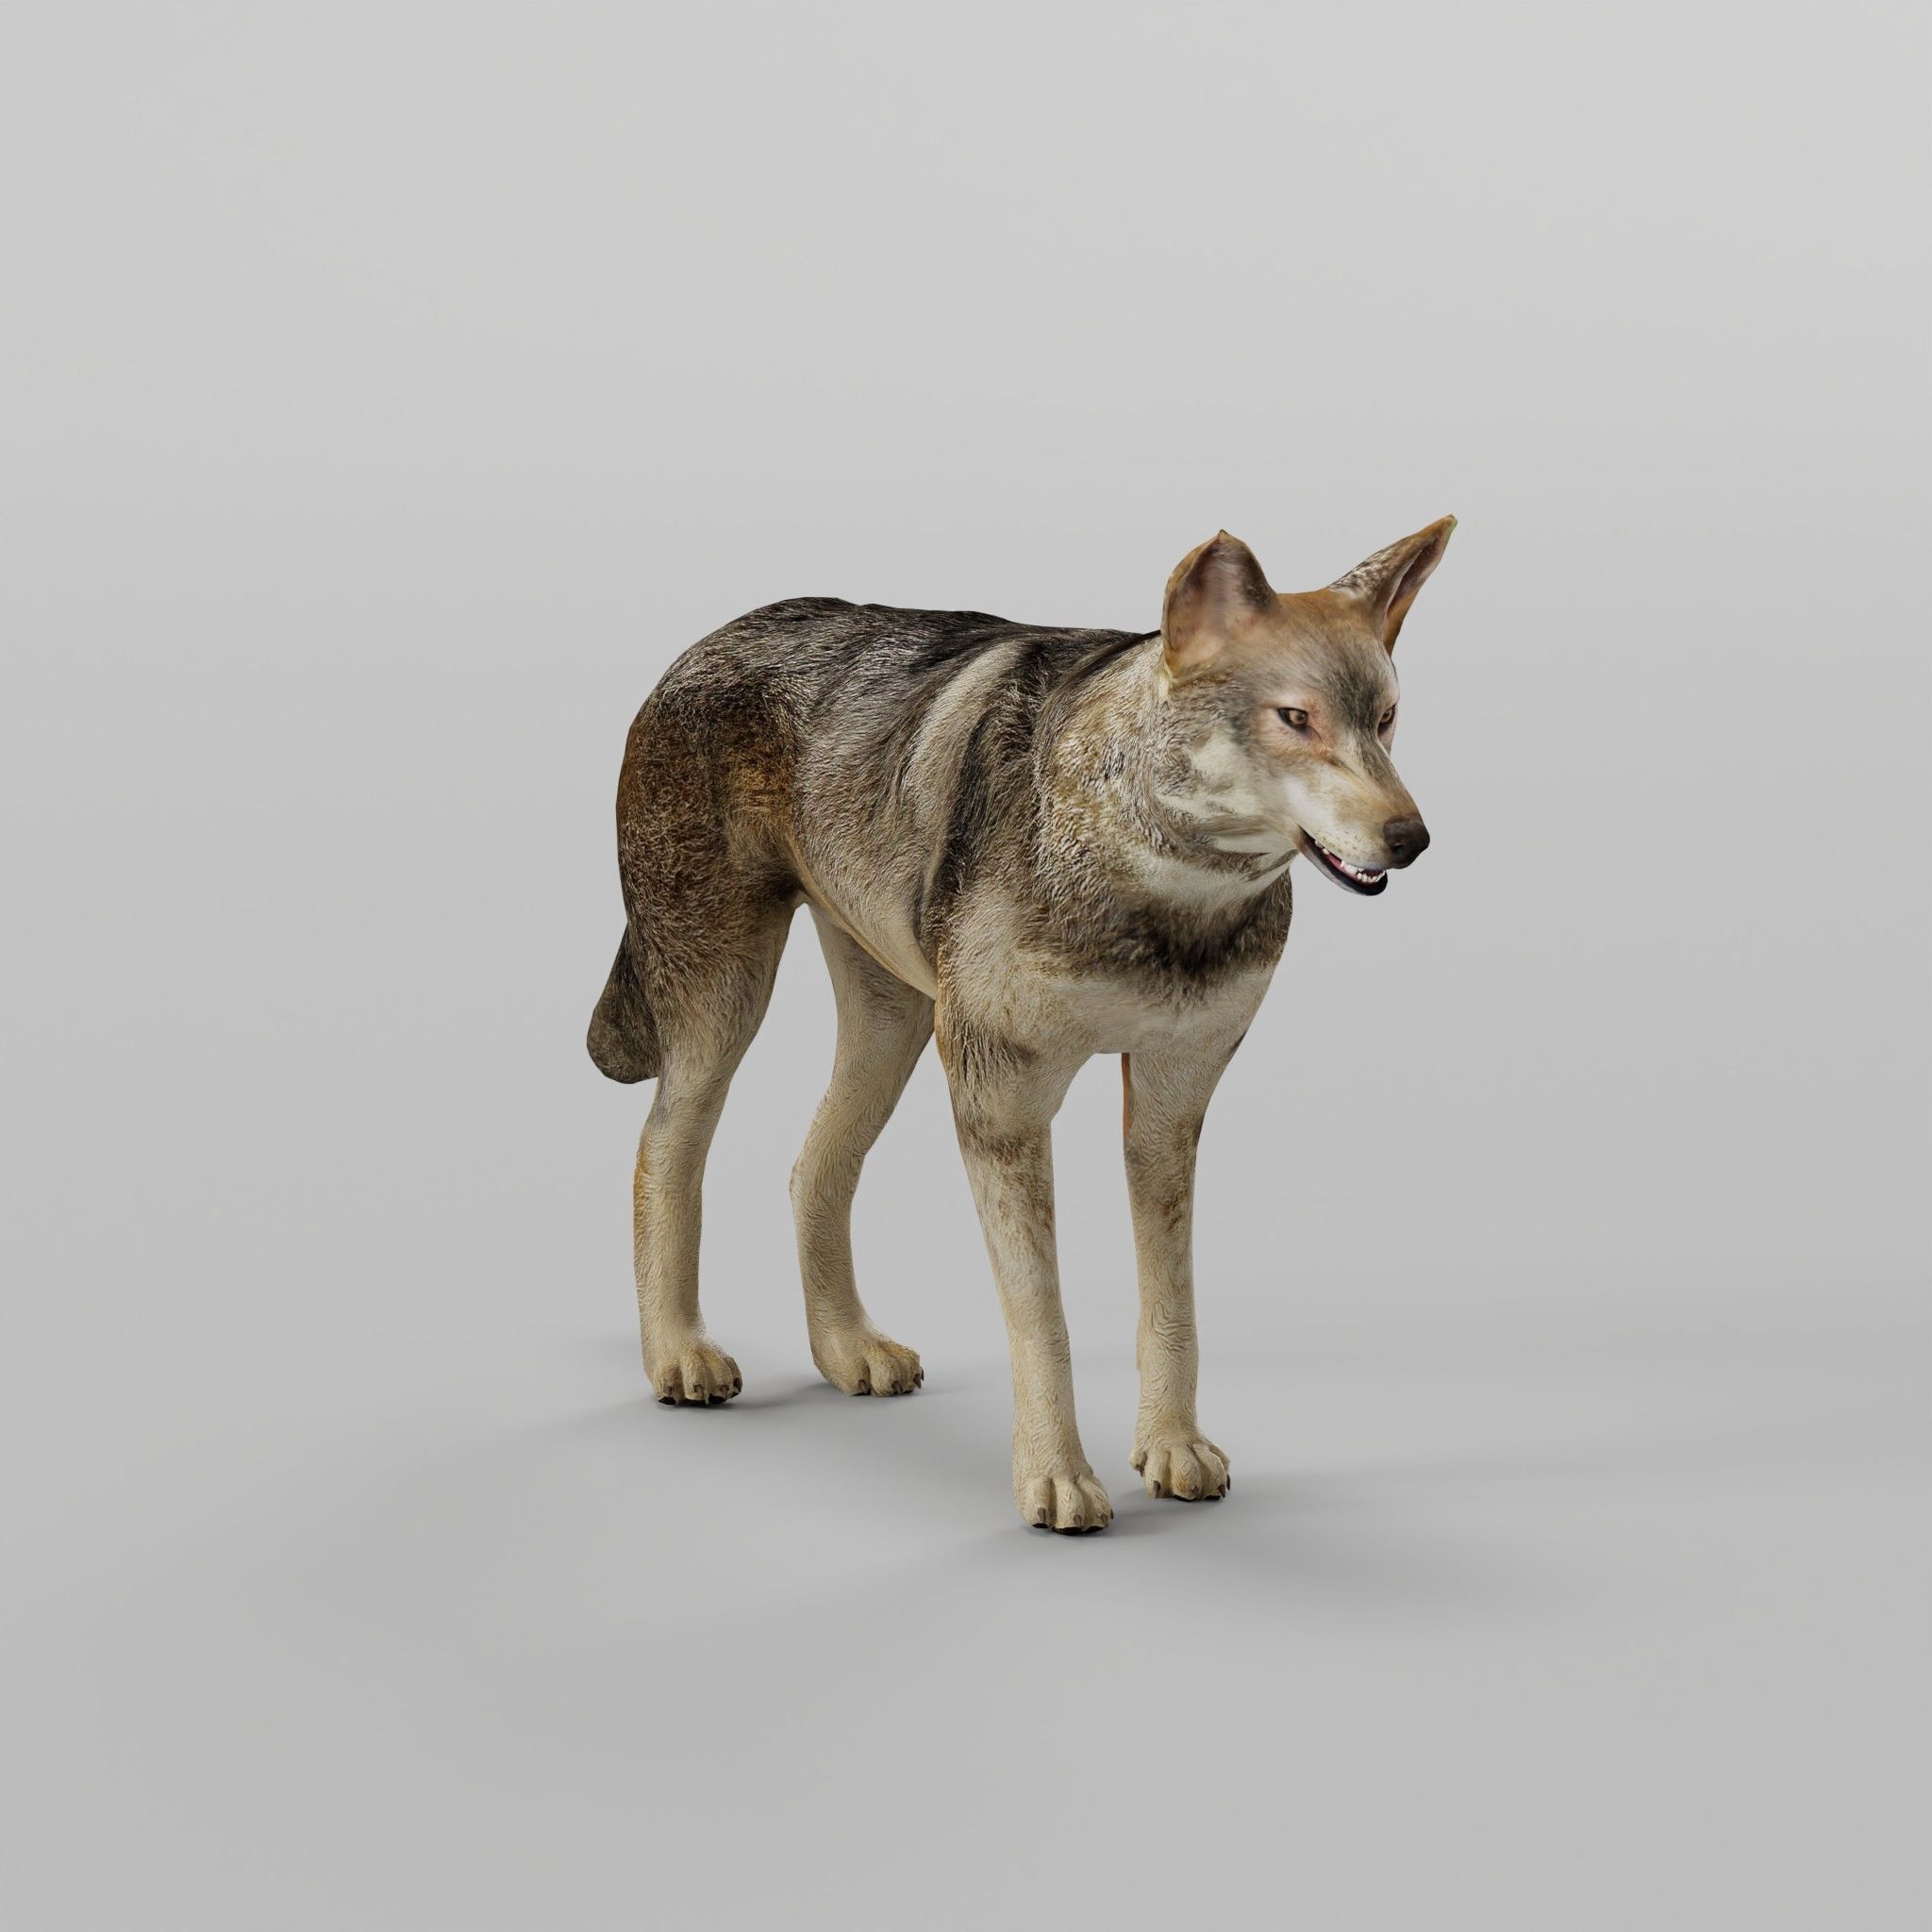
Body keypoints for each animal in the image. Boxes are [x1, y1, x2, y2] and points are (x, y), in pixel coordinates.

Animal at [589, 518, 1455, 1530]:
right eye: (1296, 719)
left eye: (1385, 719)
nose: (1412, 839)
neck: (1156, 887)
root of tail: (707, 642)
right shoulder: (1002, 1106)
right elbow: (1044, 1318)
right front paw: (1057, 1478)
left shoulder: (1170, 1107)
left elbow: (1172, 1304)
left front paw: (1171, 1448)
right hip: (726, 1006)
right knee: (662, 1150)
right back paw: (678, 1352)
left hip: (895, 1025)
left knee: (812, 1166)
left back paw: (847, 1348)